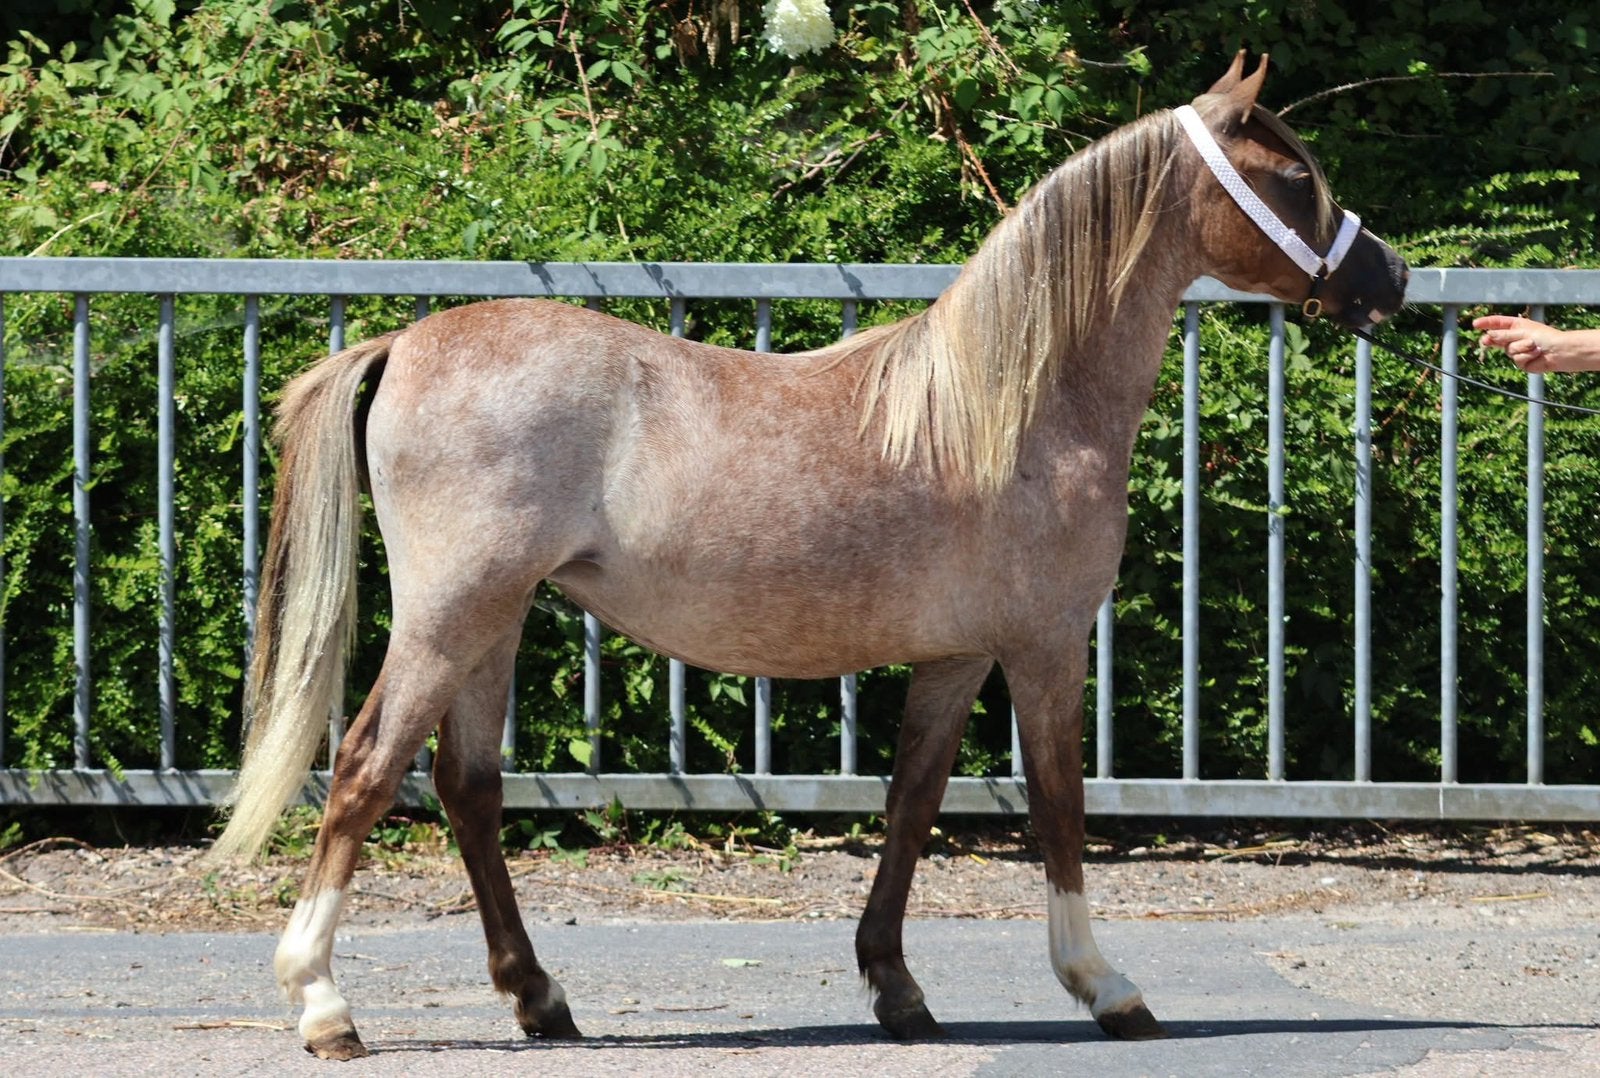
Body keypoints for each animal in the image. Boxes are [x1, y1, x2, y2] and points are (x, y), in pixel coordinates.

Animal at [212, 53, 1408, 1059]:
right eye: (1291, 177)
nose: (1389, 279)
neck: (1013, 408)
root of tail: (404, 342)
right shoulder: (1043, 646)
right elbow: (1060, 806)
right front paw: (1101, 984)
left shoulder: (956, 656)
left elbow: (913, 802)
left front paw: (898, 990)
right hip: (449, 616)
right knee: (364, 771)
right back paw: (323, 1003)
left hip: (493, 620)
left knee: (467, 786)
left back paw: (540, 998)